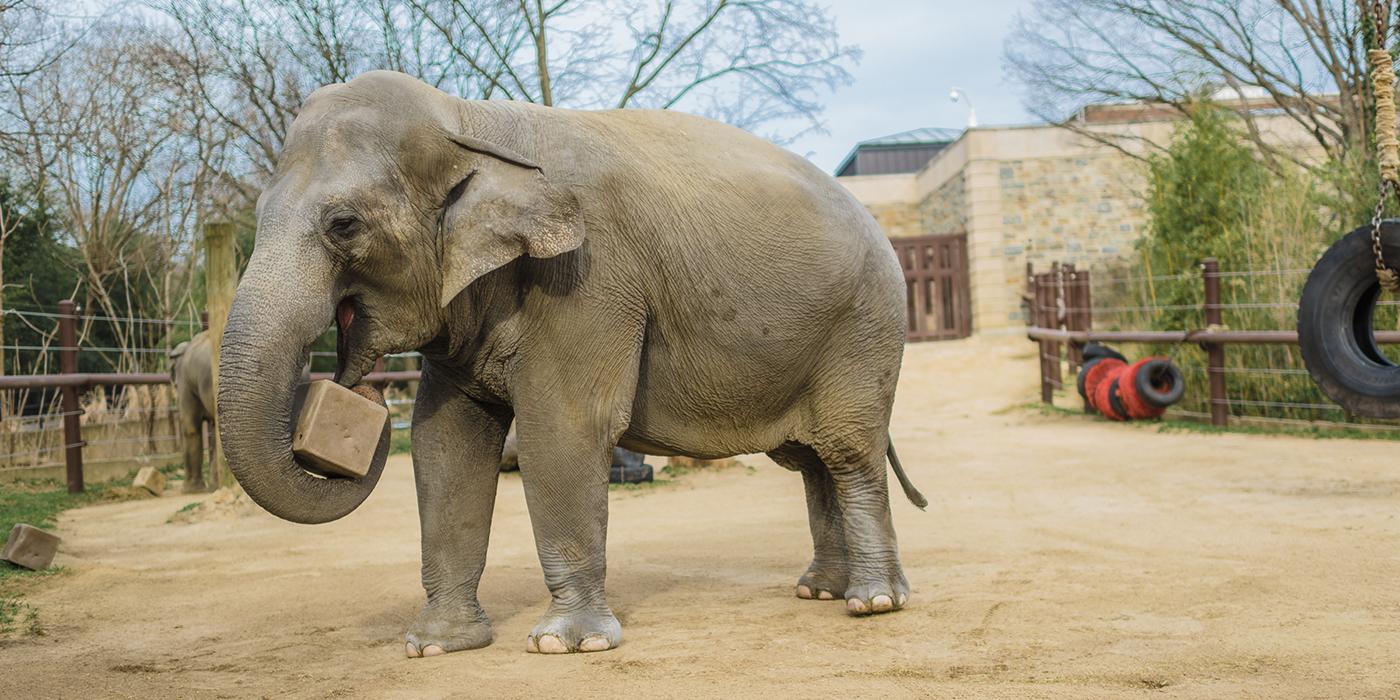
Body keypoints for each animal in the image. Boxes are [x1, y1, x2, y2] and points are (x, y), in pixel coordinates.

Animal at [215, 71, 929, 660]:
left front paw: (566, 645)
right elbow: (445, 443)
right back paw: (820, 590)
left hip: (865, 327)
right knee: (808, 460)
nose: (348, 398)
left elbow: (562, 430)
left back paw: (872, 603)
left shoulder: (589, 279)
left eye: (343, 224)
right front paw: (435, 646)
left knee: (848, 452)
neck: (471, 121)